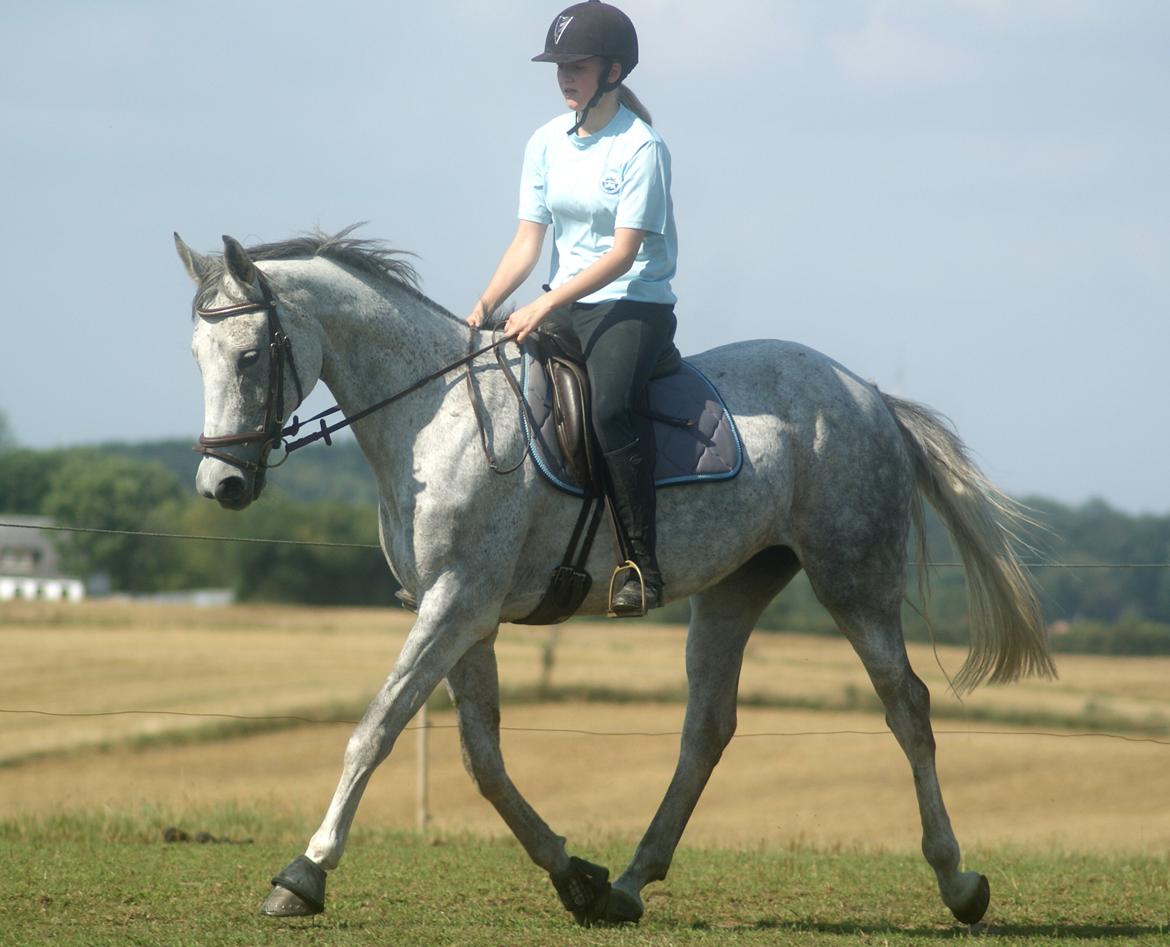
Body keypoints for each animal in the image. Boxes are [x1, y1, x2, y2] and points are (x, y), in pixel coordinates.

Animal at [175, 230, 1062, 931]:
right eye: (197, 358)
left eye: (250, 356)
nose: (222, 485)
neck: (436, 414)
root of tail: (869, 393)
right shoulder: (461, 607)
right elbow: (482, 756)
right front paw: (575, 875)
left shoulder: (456, 599)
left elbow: (377, 727)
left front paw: (304, 873)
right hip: (737, 587)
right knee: (707, 727)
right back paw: (630, 882)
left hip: (853, 580)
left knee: (906, 706)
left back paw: (959, 882)